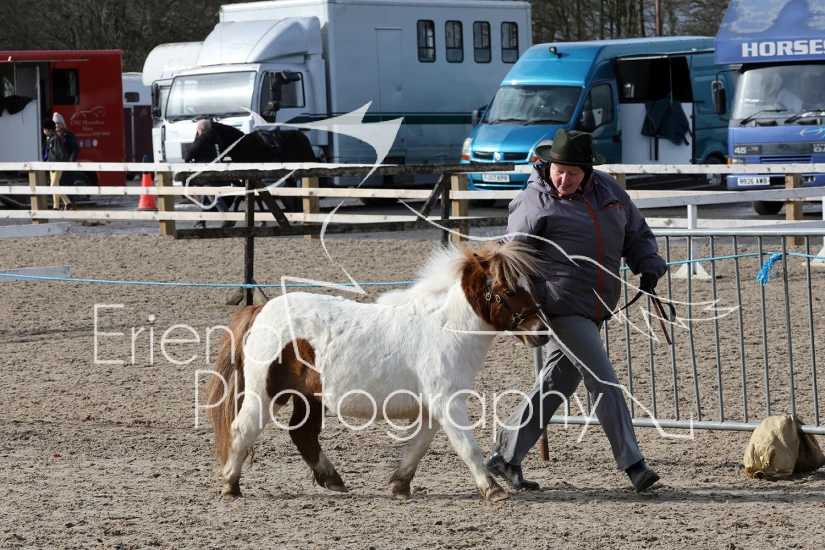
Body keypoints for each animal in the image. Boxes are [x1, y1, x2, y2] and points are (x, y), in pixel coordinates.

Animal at [204, 241, 550, 502]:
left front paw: (400, 485)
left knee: (302, 434)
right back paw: (231, 485)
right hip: (266, 395)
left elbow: (418, 447)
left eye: (529, 286)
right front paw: (493, 490)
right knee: (242, 430)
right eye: (509, 291)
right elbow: (468, 447)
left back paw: (332, 479)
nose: (541, 332)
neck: (445, 327)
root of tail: (260, 309)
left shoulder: (433, 408)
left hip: (309, 397)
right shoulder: (448, 403)